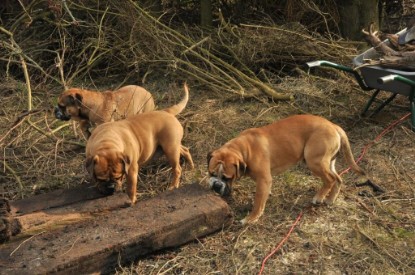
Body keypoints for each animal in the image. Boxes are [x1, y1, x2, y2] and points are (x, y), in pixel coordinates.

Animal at [208, 115, 368, 225]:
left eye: (227, 178)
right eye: (211, 173)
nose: (216, 185)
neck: (244, 149)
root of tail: (334, 126)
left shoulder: (263, 179)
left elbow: (258, 202)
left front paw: (251, 218)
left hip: (314, 161)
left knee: (330, 179)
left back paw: (319, 197)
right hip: (328, 162)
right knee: (338, 178)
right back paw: (330, 199)